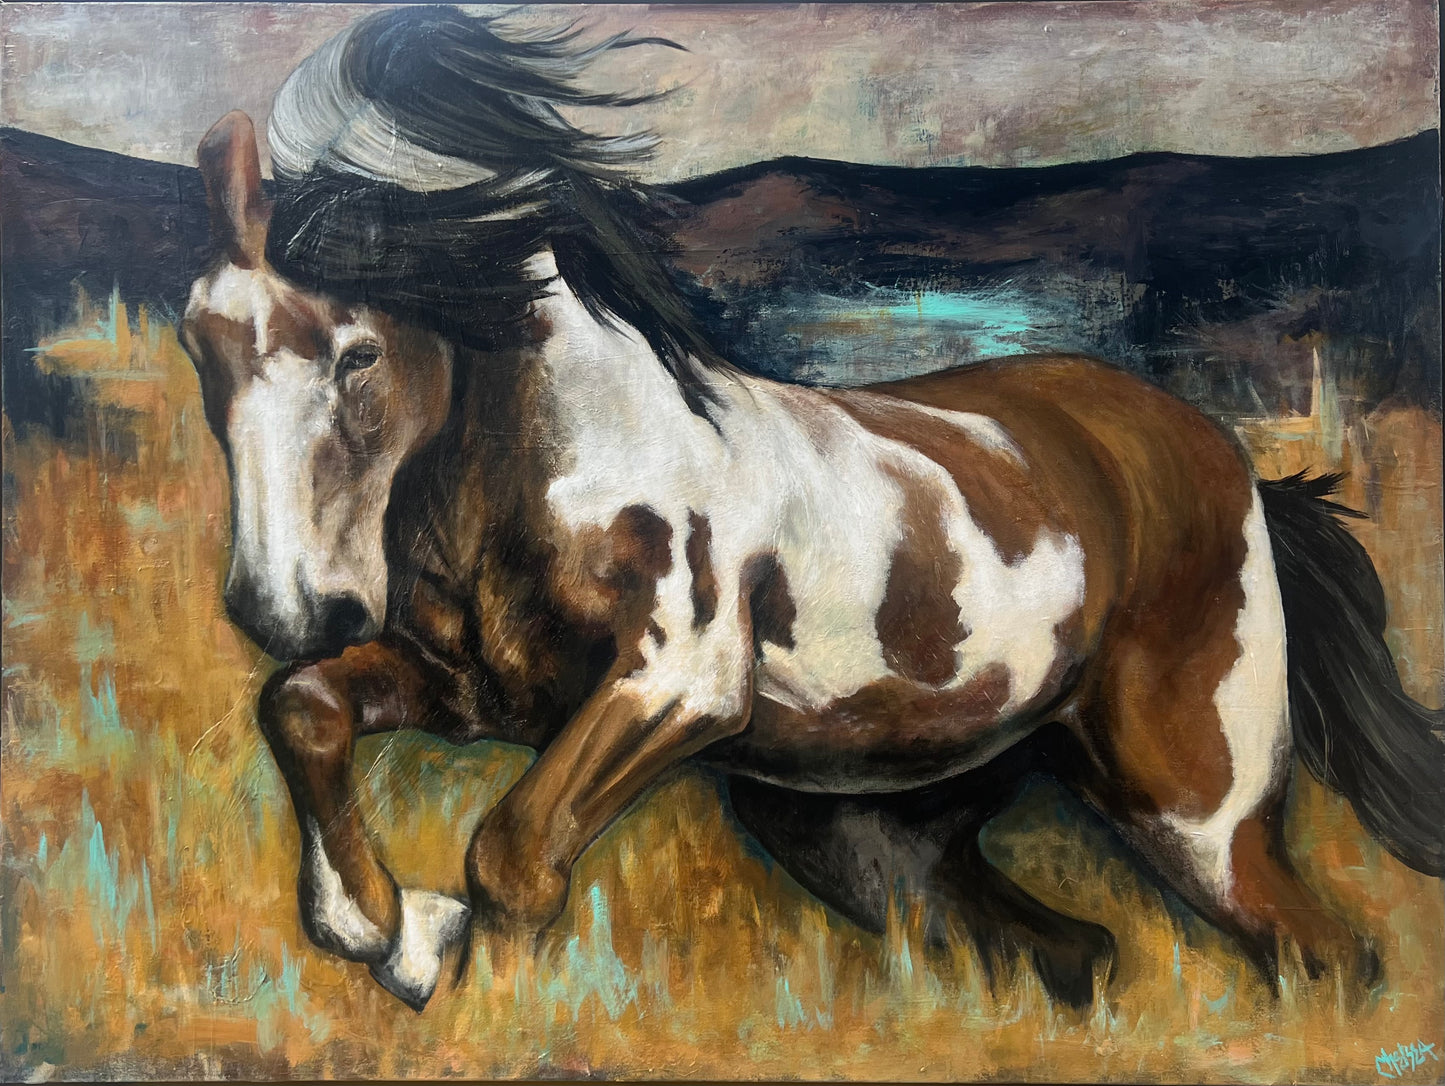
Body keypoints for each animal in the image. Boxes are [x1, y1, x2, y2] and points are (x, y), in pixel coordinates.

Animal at [179, 6, 1443, 1012]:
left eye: (355, 354)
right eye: (201, 343)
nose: (278, 606)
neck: (564, 462)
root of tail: (1234, 474)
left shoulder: (677, 687)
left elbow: (513, 859)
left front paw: (440, 959)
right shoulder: (474, 692)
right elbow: (303, 708)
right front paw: (377, 927)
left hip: (1193, 809)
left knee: (1321, 955)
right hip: (866, 829)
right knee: (1063, 949)